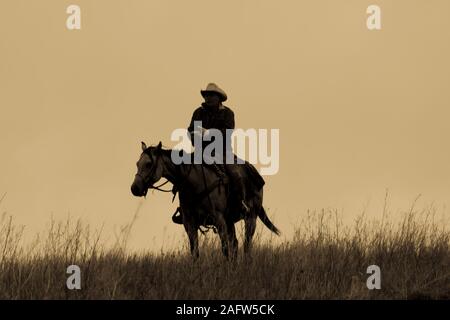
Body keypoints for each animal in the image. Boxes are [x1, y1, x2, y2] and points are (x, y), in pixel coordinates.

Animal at [130, 141, 280, 258]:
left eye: (149, 164)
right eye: (137, 163)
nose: (134, 188)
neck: (194, 183)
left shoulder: (219, 220)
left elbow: (225, 250)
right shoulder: (189, 224)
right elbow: (195, 252)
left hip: (251, 218)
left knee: (246, 245)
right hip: (230, 221)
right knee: (236, 244)